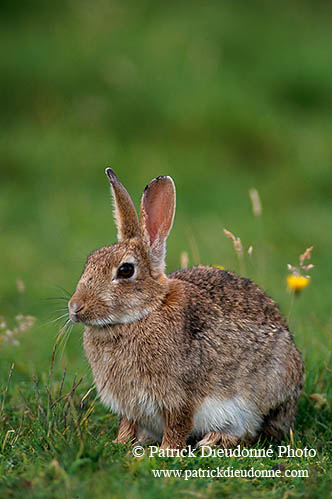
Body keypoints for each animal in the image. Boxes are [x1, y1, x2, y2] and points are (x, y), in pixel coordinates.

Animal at [67, 170, 304, 452]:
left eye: (125, 270)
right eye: (90, 262)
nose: (75, 307)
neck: (142, 314)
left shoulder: (180, 396)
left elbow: (177, 424)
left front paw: (166, 451)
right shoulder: (131, 406)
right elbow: (128, 423)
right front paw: (120, 443)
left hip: (258, 397)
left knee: (250, 432)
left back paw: (215, 440)